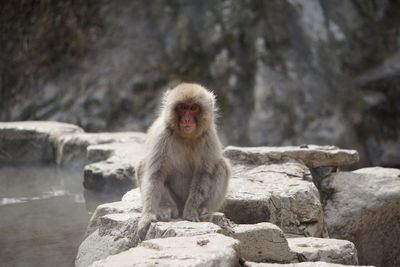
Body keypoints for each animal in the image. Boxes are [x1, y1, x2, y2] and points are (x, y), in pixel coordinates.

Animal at [136, 82, 231, 240]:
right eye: (182, 107)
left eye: (193, 108)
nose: (187, 119)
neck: (186, 137)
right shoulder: (162, 135)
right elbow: (156, 174)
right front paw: (148, 215)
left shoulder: (209, 137)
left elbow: (203, 173)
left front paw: (191, 211)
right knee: (143, 166)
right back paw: (166, 208)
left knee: (221, 166)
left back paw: (204, 209)